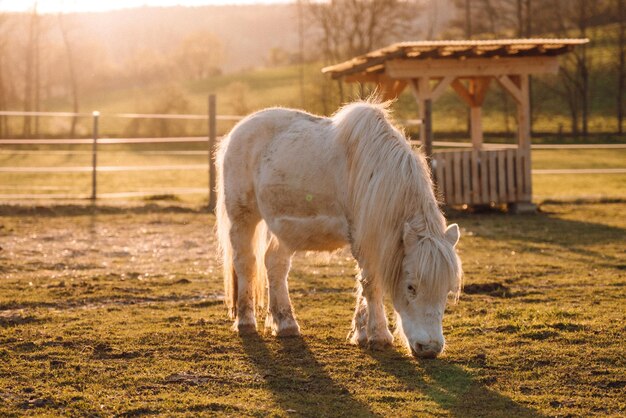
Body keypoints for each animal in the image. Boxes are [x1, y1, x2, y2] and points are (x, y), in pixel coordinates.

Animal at [217, 101, 460, 360]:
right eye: (411, 287)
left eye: (447, 290)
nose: (430, 348)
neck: (377, 174)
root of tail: (236, 131)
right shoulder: (364, 238)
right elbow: (372, 284)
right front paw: (379, 336)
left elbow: (363, 285)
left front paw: (361, 333)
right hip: (242, 217)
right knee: (245, 263)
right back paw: (246, 322)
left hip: (284, 228)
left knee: (275, 265)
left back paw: (286, 324)